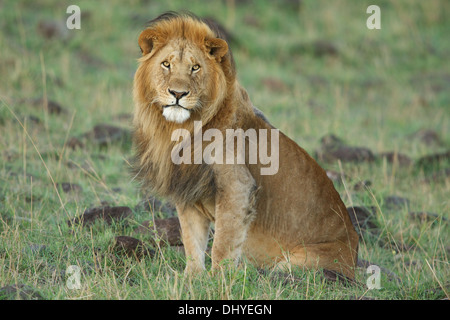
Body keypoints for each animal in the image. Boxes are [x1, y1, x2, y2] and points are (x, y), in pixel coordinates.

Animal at [131, 11, 358, 278]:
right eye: (166, 64)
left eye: (195, 67)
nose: (178, 94)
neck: (181, 129)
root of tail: (355, 258)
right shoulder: (189, 191)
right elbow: (192, 241)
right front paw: (191, 278)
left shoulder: (237, 187)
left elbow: (223, 243)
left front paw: (218, 280)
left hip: (297, 262)